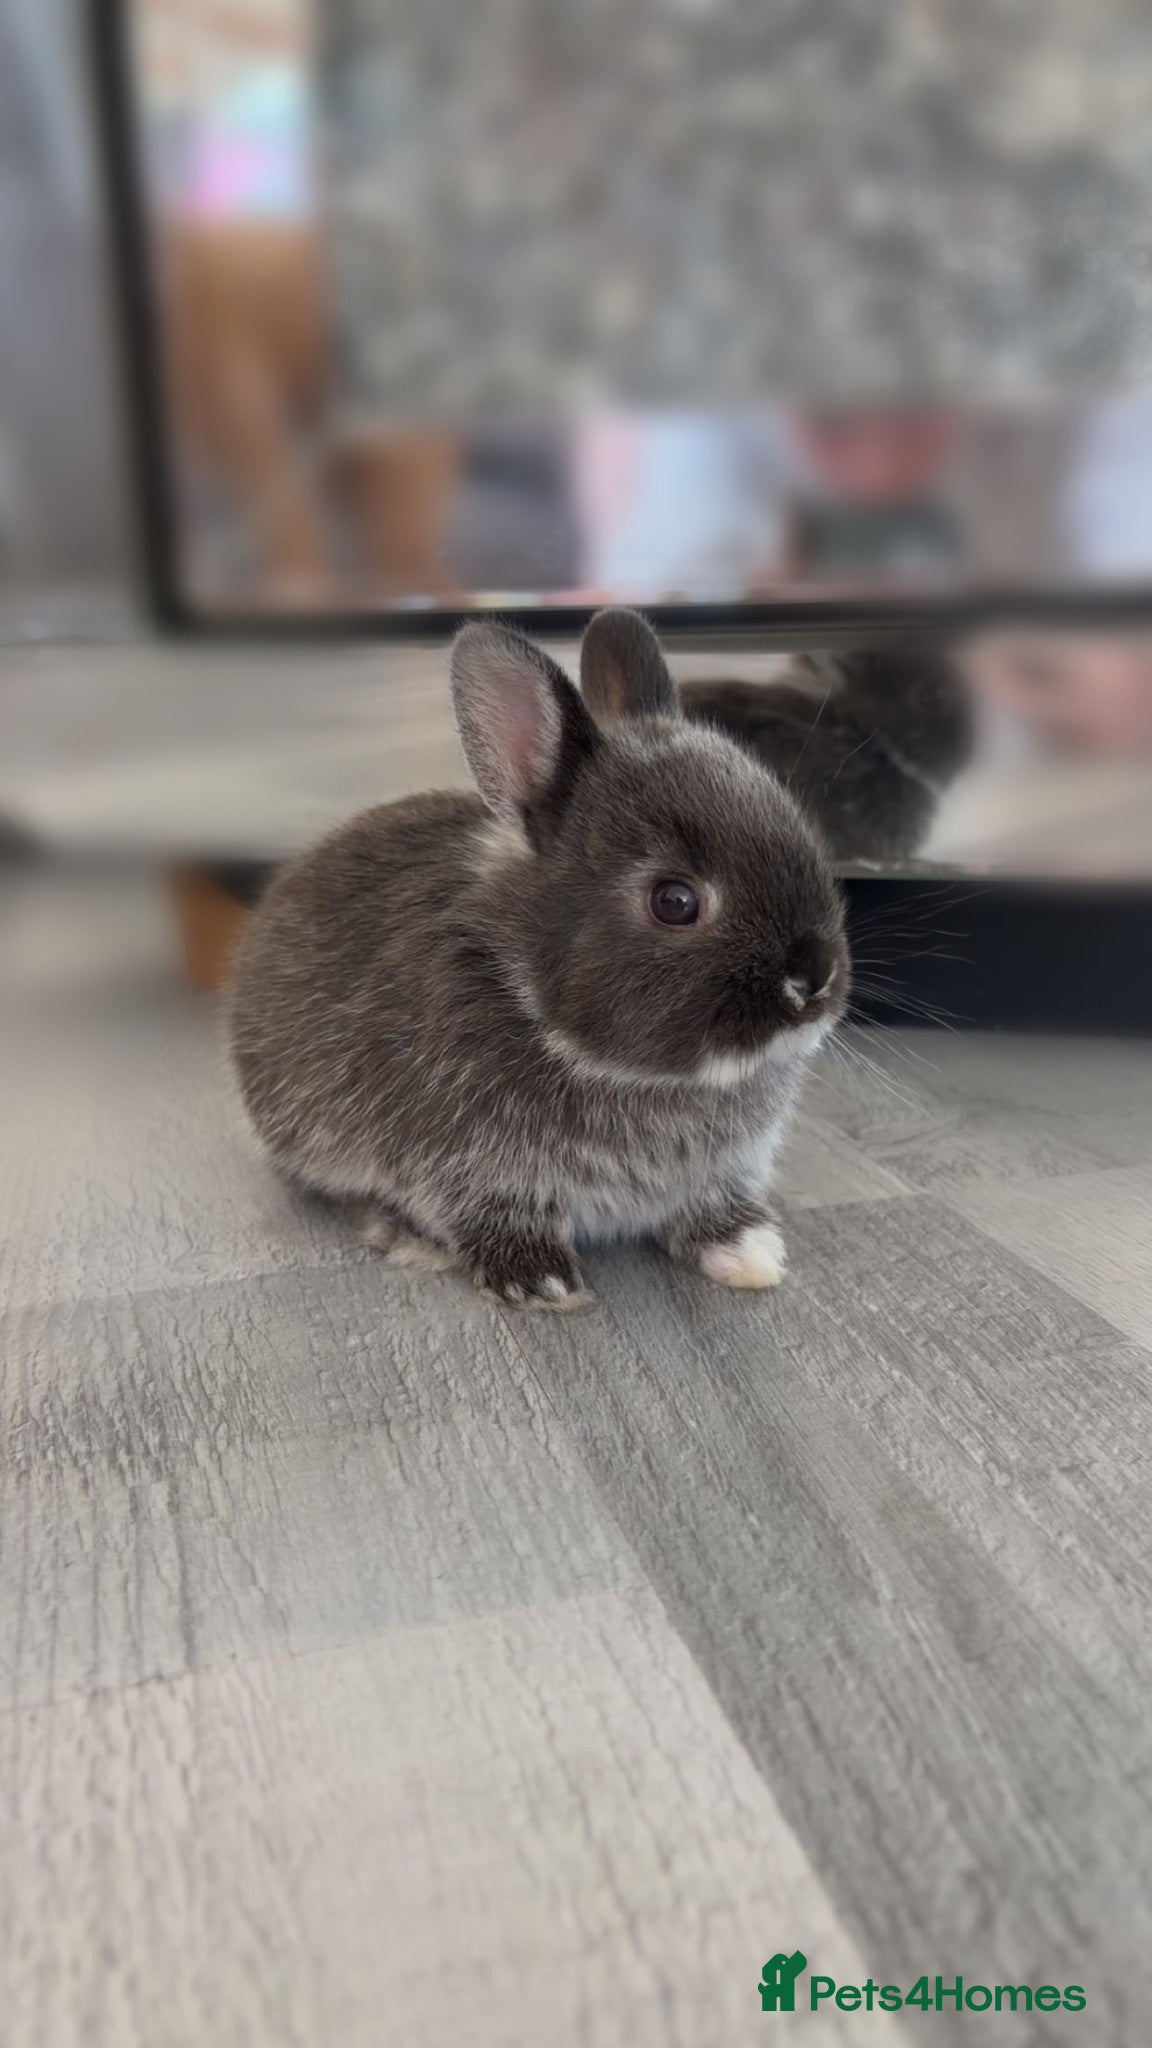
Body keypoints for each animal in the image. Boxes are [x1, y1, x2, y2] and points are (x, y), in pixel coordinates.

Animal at [228, 608, 849, 1308]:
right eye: (676, 901)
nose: (813, 981)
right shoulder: (467, 1164)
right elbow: (488, 1212)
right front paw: (542, 1282)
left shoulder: (724, 1171)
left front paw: (747, 1254)